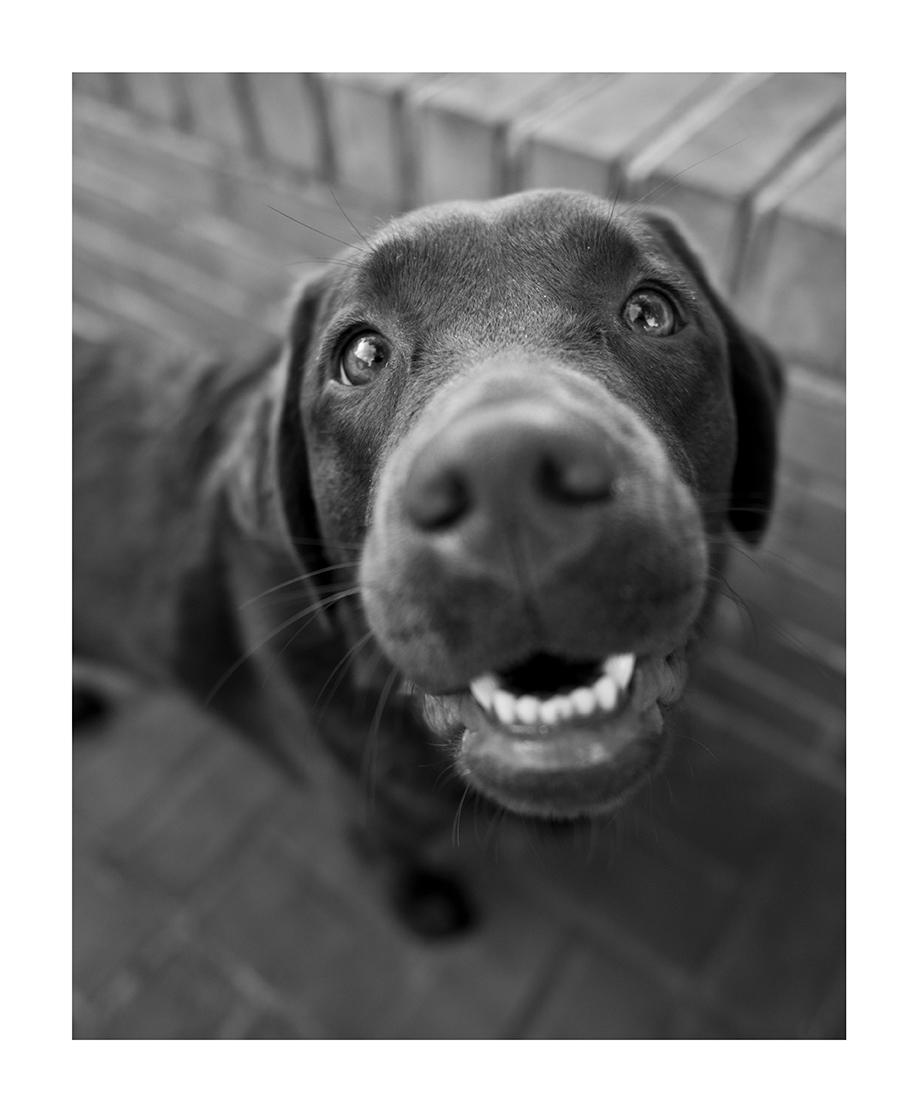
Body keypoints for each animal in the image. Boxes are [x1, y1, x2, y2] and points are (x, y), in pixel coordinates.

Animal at [73, 193, 777, 938]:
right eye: (360, 355)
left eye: (650, 311)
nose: (505, 469)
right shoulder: (357, 806)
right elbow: (388, 855)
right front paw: (424, 905)